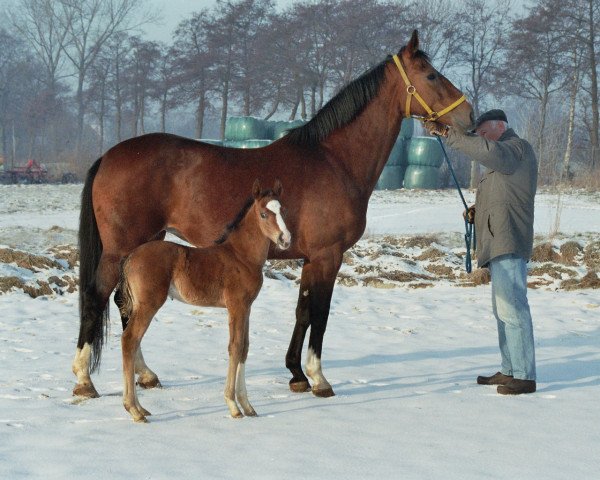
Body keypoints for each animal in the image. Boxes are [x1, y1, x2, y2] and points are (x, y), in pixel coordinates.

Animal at [115, 181, 290, 424]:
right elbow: (235, 347)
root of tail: (130, 257)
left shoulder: (247, 307)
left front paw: (248, 406)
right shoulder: (236, 306)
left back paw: (141, 408)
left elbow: (245, 348)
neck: (241, 256)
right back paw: (134, 410)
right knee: (129, 340)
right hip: (148, 305)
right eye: (264, 214)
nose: (285, 239)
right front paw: (233, 406)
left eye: (282, 210)